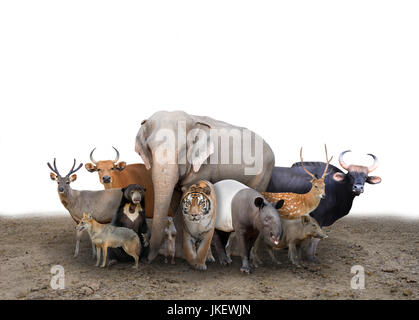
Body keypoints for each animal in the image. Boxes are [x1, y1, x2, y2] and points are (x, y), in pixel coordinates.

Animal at [136, 111, 278, 262]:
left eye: (183, 150)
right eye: (149, 149)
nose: (146, 259)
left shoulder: (204, 166)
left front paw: (200, 257)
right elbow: (175, 200)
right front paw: (181, 254)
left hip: (264, 174)